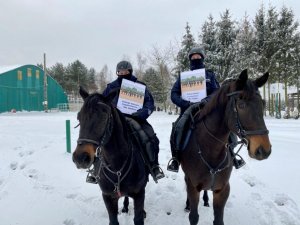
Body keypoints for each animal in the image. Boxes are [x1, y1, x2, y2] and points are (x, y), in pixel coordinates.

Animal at [72, 87, 148, 225]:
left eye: (104, 116)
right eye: (79, 117)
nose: (80, 158)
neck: (116, 165)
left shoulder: (139, 194)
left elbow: (138, 218)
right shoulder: (107, 197)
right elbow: (113, 221)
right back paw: (125, 207)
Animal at [180, 69, 272, 224]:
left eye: (263, 104)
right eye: (241, 105)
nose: (264, 150)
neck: (211, 149)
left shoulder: (222, 190)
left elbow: (219, 220)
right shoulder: (193, 187)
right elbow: (193, 216)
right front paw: (189, 207)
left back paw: (206, 200)